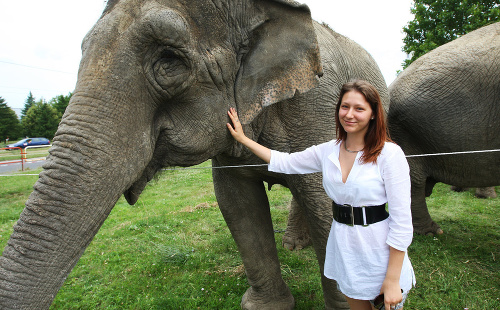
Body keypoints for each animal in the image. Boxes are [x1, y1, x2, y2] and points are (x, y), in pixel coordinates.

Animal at [0, 1, 388, 308]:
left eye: (168, 60)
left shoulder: (316, 107)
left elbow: (325, 201)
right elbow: (237, 202)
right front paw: (267, 306)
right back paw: (294, 246)